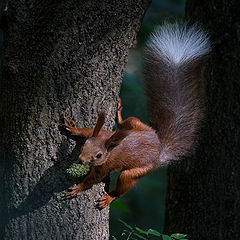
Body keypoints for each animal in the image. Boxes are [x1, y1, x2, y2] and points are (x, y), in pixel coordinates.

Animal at [63, 23, 210, 208]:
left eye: (99, 156)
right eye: (85, 145)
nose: (81, 160)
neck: (109, 145)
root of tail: (159, 151)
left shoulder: (105, 166)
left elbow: (94, 178)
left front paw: (78, 188)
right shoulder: (101, 132)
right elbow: (87, 130)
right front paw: (74, 129)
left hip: (137, 171)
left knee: (124, 184)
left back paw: (110, 197)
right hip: (136, 123)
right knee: (128, 122)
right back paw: (119, 116)